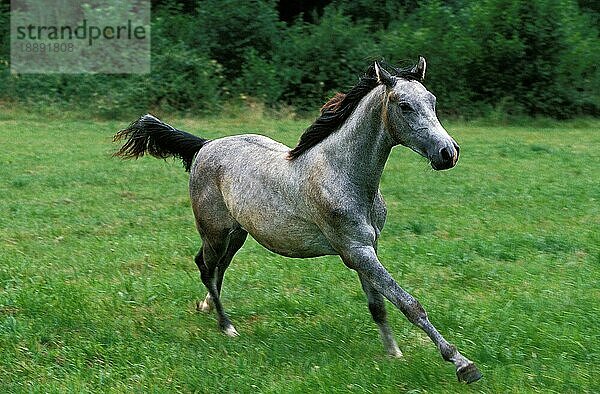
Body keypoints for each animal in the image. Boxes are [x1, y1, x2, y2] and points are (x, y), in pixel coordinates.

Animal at [113, 58, 482, 384]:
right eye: (405, 106)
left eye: (432, 101)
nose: (449, 153)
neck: (343, 174)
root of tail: (204, 145)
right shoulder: (356, 250)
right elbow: (408, 303)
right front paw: (462, 364)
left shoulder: (366, 248)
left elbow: (378, 304)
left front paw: (393, 352)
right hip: (215, 232)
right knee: (205, 266)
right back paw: (226, 326)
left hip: (238, 235)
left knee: (217, 270)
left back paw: (206, 307)